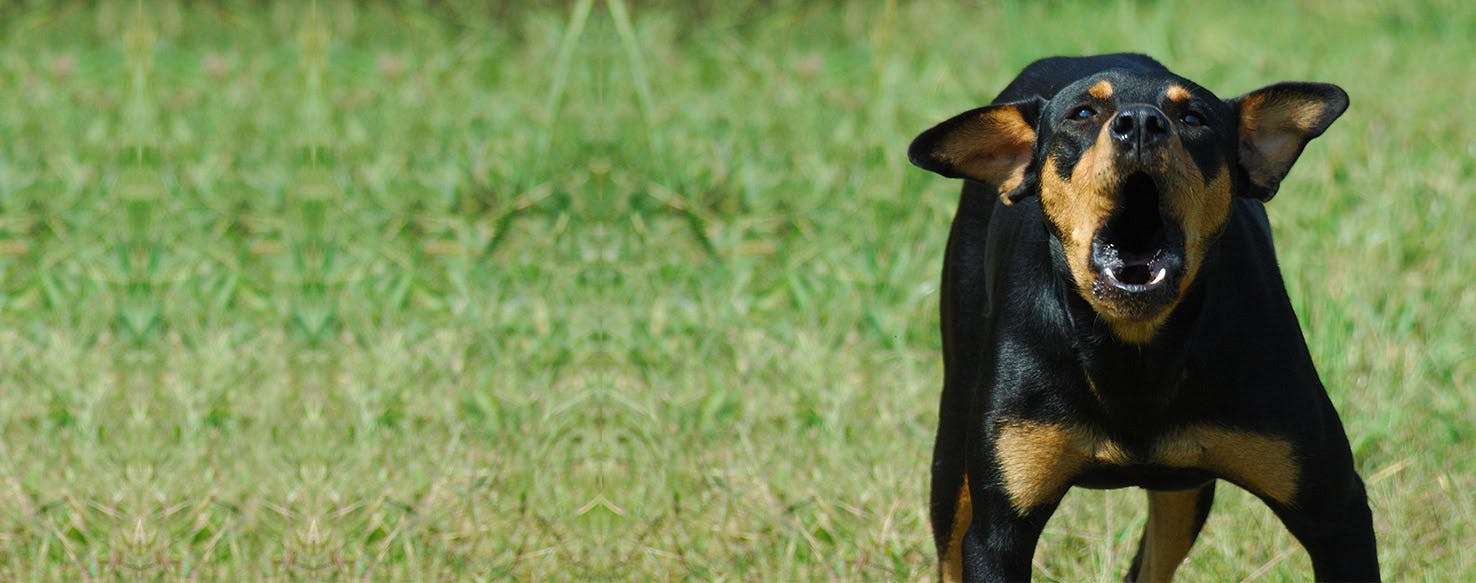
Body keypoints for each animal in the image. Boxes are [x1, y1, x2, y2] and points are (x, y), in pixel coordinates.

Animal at [903, 52, 1375, 581]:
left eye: (1193, 118)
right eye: (1082, 113)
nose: (1142, 124)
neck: (1134, 348)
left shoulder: (1335, 511)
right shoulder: (998, 530)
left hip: (1183, 488)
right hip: (954, 443)